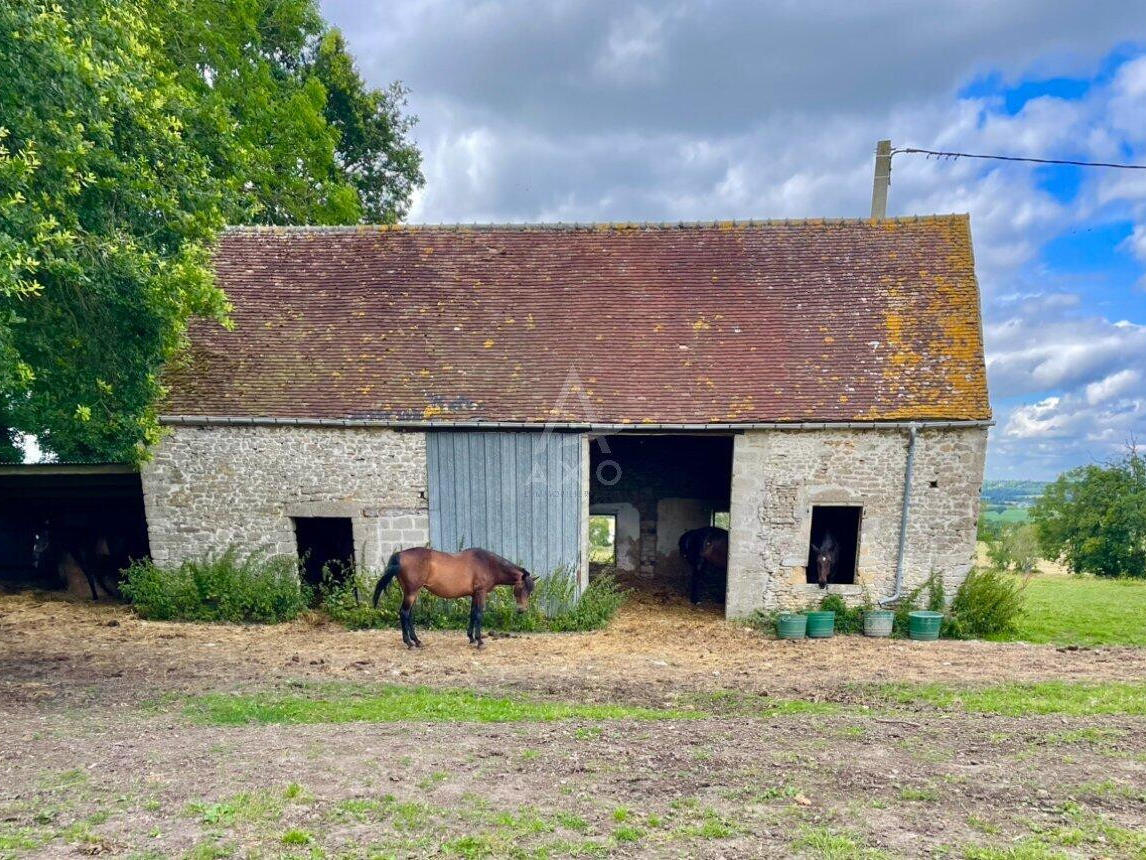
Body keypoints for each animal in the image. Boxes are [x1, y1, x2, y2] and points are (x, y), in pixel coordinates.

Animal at [373, 548, 538, 651]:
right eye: (521, 588)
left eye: (531, 591)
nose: (522, 610)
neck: (488, 564)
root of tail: (400, 554)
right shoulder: (481, 592)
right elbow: (479, 614)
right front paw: (480, 642)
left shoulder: (474, 595)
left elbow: (472, 614)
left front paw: (471, 638)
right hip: (412, 592)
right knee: (404, 613)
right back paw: (409, 643)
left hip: (411, 592)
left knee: (409, 615)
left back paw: (417, 641)